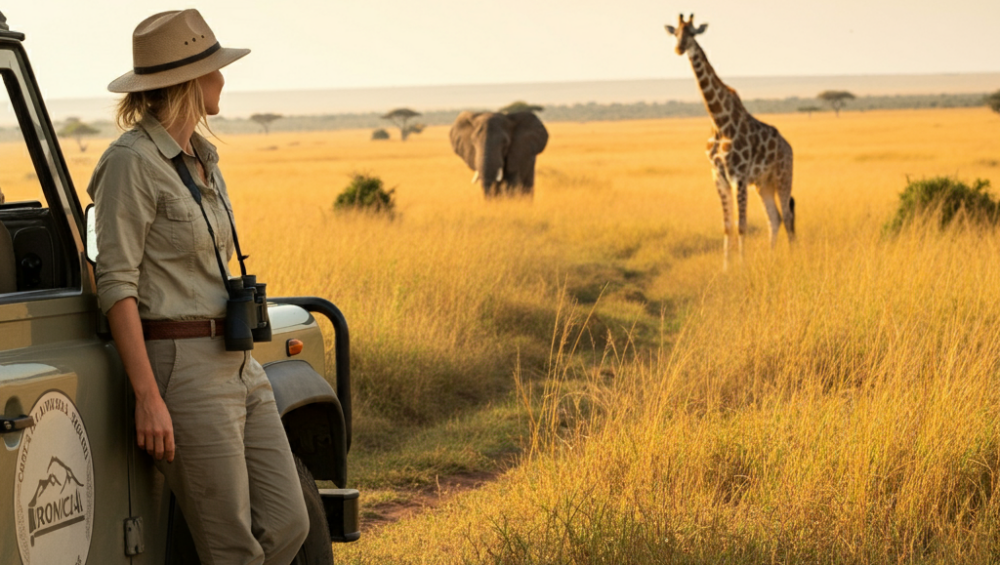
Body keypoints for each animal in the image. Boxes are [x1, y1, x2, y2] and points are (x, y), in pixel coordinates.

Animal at [664, 13, 796, 268]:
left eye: (692, 32)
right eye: (675, 33)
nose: (679, 48)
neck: (719, 121)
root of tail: (789, 147)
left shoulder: (739, 175)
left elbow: (741, 225)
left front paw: (742, 267)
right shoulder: (718, 176)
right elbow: (726, 226)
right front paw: (727, 268)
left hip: (782, 176)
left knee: (786, 215)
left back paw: (794, 257)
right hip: (764, 184)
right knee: (774, 218)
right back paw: (771, 258)